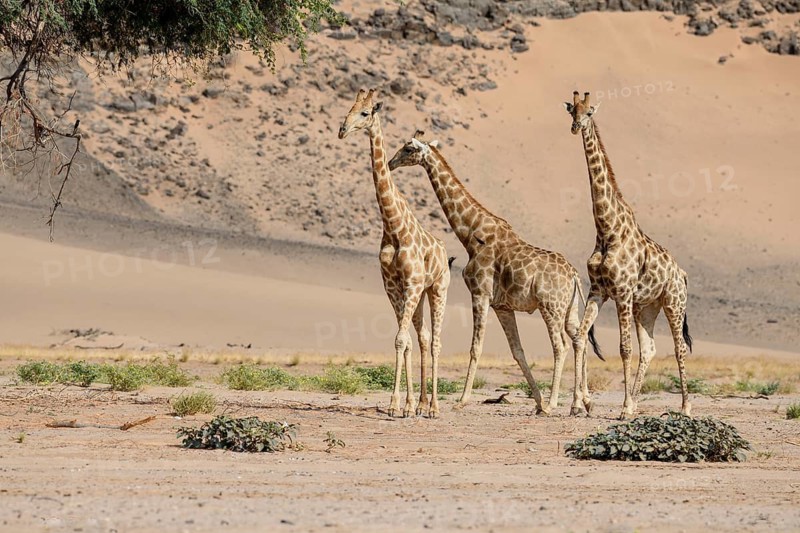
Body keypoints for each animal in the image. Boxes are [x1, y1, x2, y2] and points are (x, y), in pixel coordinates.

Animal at [339, 90, 451, 418]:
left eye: (365, 113)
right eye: (348, 109)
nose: (342, 130)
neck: (392, 225)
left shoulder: (412, 283)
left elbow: (401, 339)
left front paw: (395, 405)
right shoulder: (393, 285)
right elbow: (405, 341)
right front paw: (405, 404)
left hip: (438, 288)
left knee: (436, 341)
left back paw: (434, 407)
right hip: (421, 293)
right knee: (424, 338)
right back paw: (423, 404)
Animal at [389, 131, 602, 416]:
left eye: (408, 148)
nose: (390, 163)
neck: (471, 233)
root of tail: (575, 276)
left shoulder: (480, 293)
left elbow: (475, 347)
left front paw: (462, 400)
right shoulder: (503, 306)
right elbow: (517, 351)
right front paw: (537, 401)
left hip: (550, 307)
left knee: (561, 346)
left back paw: (555, 403)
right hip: (569, 309)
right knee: (579, 340)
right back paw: (580, 403)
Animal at [564, 91, 693, 419]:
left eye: (590, 112)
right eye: (572, 111)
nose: (576, 127)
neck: (606, 229)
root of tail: (682, 272)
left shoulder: (621, 292)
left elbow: (624, 348)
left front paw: (621, 409)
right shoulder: (599, 291)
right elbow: (580, 336)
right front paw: (578, 404)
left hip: (673, 303)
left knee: (678, 348)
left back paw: (685, 407)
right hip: (646, 307)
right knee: (650, 348)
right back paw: (636, 404)